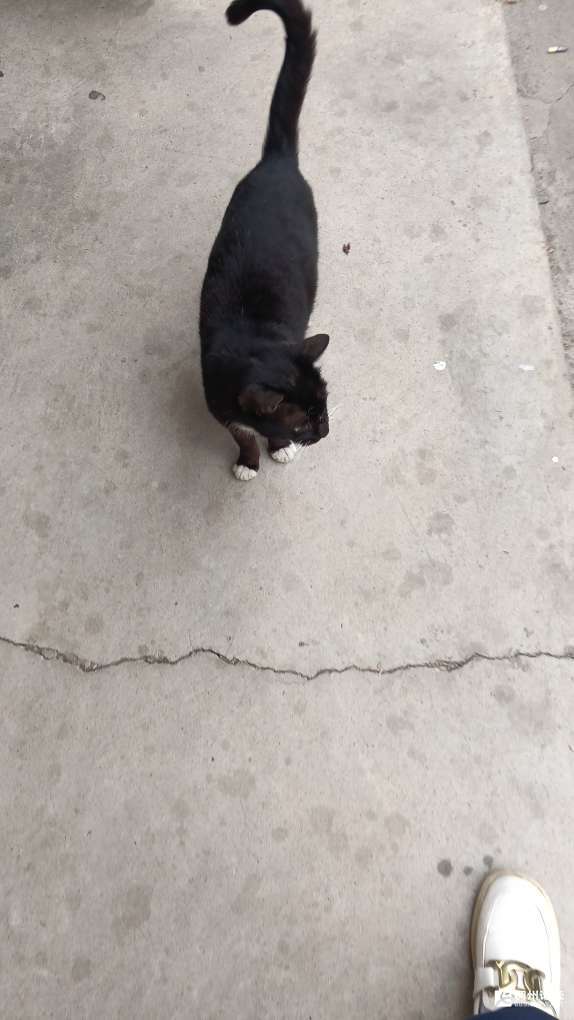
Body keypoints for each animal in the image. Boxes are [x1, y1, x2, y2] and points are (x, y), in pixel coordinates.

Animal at [200, 0, 329, 481]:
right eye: (305, 421)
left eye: (325, 405)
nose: (326, 431)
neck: (254, 342)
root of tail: (277, 159)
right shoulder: (219, 403)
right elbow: (241, 434)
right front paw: (248, 461)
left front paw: (278, 448)